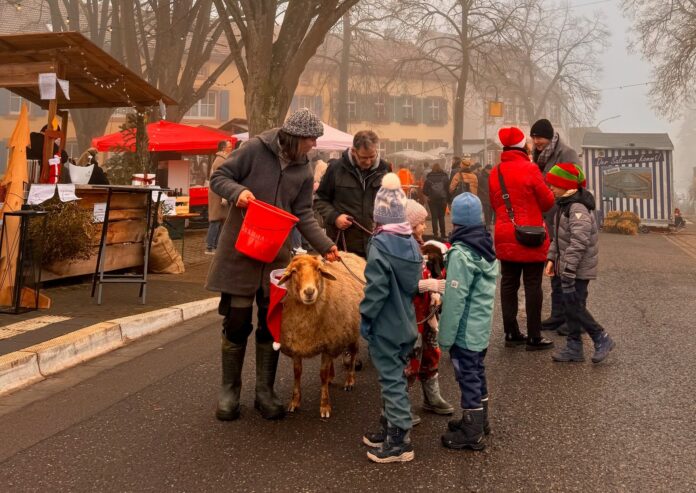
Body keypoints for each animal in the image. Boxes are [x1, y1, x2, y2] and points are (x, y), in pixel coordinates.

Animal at [276, 252, 368, 418]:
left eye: (318, 270)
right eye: (294, 271)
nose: (309, 292)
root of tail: (349, 253)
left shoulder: (328, 345)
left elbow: (322, 375)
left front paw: (325, 406)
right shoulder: (297, 345)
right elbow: (297, 373)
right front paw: (294, 402)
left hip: (352, 331)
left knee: (353, 354)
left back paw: (350, 380)